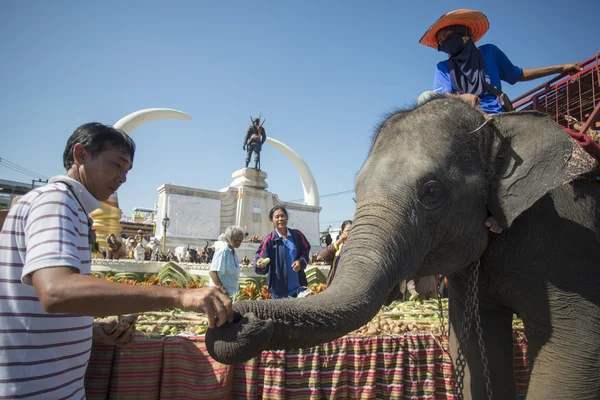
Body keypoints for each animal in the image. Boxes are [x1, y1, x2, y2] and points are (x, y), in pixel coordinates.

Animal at [206, 97, 600, 400]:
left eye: (432, 192)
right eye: (355, 192)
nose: (235, 318)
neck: (498, 124)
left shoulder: (568, 241)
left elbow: (572, 355)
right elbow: (473, 345)